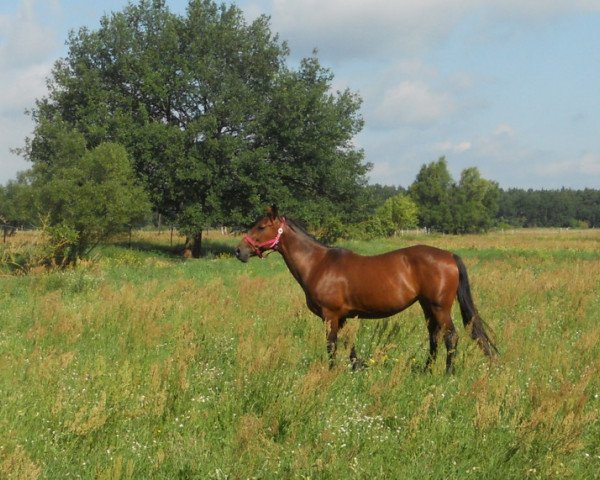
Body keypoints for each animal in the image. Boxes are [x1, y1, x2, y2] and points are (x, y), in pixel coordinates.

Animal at [234, 204, 496, 374]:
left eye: (261, 227)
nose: (239, 251)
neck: (318, 264)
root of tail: (449, 256)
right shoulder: (343, 317)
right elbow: (349, 344)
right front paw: (356, 367)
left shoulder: (330, 316)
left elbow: (331, 345)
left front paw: (331, 372)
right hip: (427, 306)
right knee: (434, 335)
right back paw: (426, 370)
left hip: (440, 307)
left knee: (451, 336)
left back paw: (448, 373)